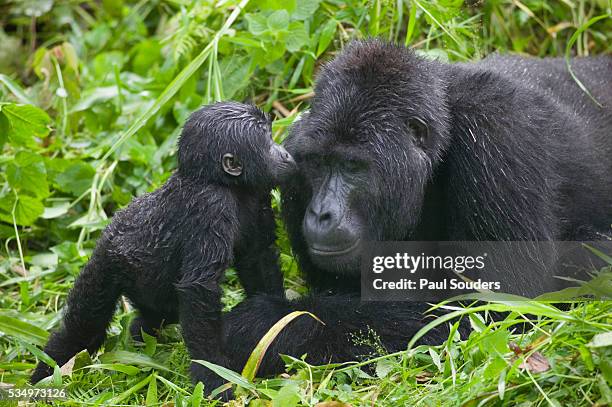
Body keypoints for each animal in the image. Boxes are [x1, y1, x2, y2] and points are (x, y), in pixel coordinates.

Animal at [32, 100, 296, 394]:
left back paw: (138, 337)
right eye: (267, 141)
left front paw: (276, 321)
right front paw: (214, 375)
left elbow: (257, 258)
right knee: (84, 328)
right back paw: (47, 373)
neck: (222, 182)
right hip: (105, 264)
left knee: (156, 315)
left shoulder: (257, 194)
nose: (285, 154)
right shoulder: (211, 206)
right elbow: (199, 288)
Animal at [224, 39, 612, 378]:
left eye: (352, 166)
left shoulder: (499, 134)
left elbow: (496, 310)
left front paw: (265, 323)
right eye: (318, 163)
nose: (321, 213)